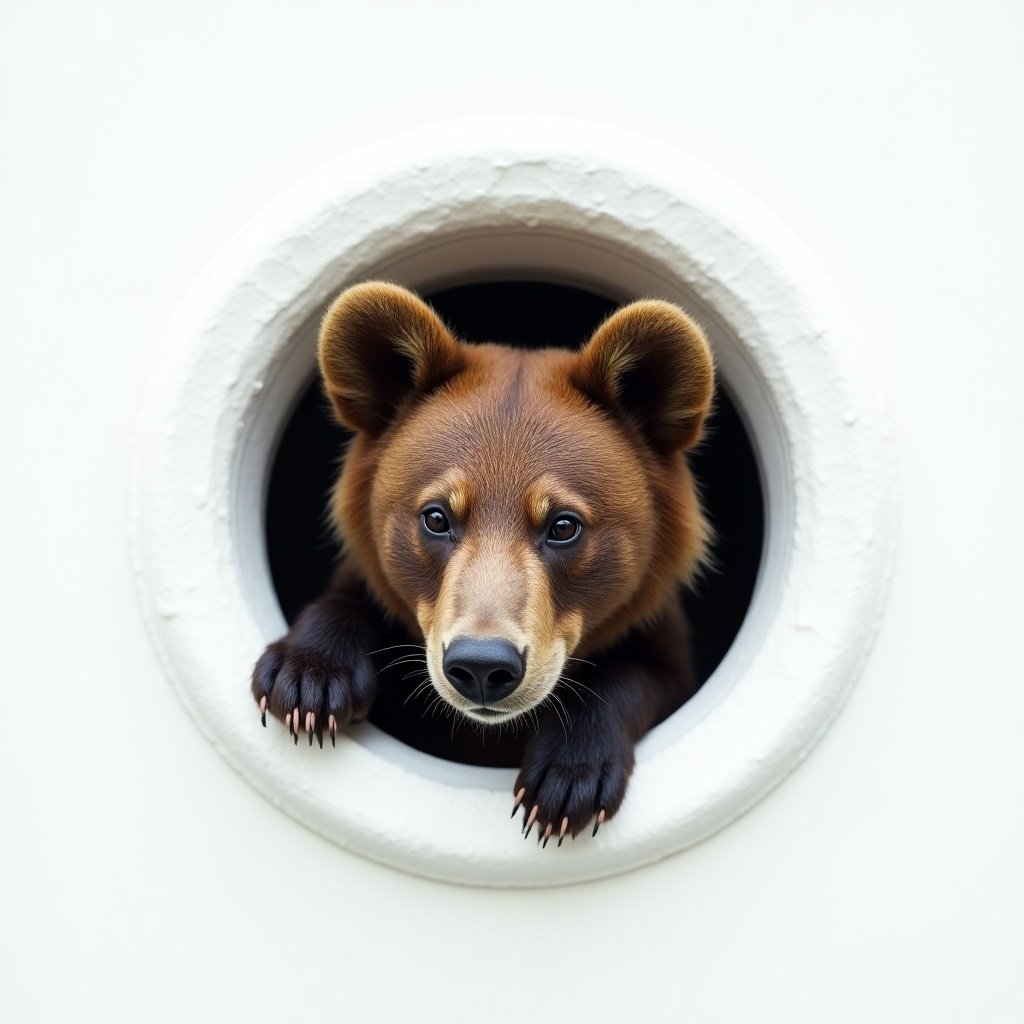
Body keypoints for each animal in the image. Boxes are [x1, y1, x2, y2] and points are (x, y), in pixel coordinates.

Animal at [248, 278, 716, 839]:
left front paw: (569, 777)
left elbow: (647, 675)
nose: (482, 666)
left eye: (563, 525)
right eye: (436, 517)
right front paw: (307, 678)